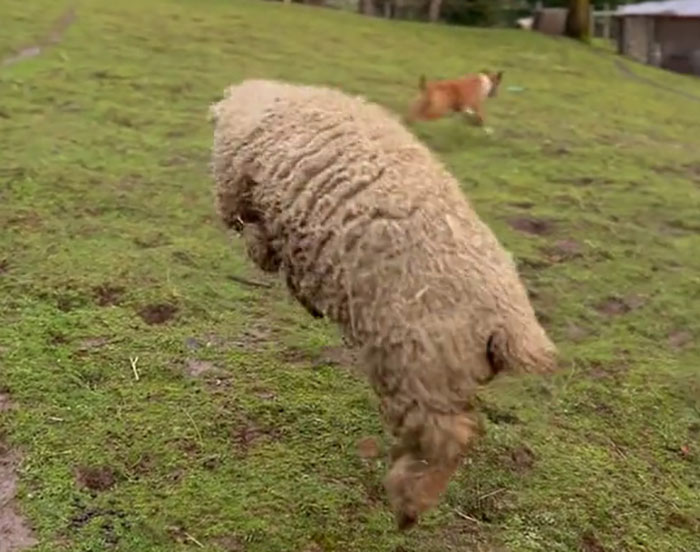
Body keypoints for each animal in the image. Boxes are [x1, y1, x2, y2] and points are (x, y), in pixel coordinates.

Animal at [208, 79, 558, 530]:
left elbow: (258, 237)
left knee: (452, 436)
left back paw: (410, 503)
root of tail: (514, 325)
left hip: (420, 370)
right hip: (441, 376)